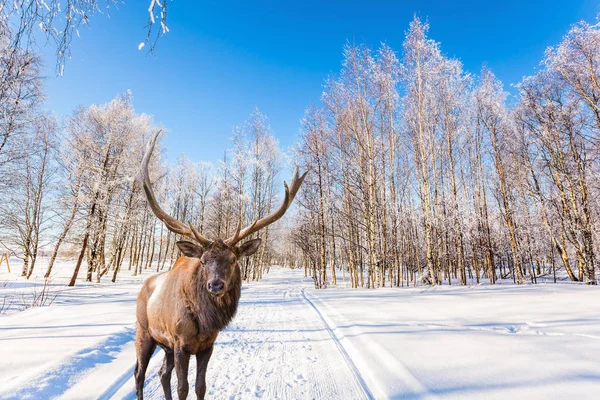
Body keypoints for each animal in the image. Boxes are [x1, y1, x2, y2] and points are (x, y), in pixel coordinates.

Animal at [134, 132, 308, 400]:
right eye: (203, 261)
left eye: (234, 259)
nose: (215, 285)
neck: (205, 322)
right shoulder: (180, 343)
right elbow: (183, 387)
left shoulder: (207, 345)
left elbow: (200, 386)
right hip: (144, 333)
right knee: (140, 374)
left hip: (165, 346)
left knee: (162, 373)